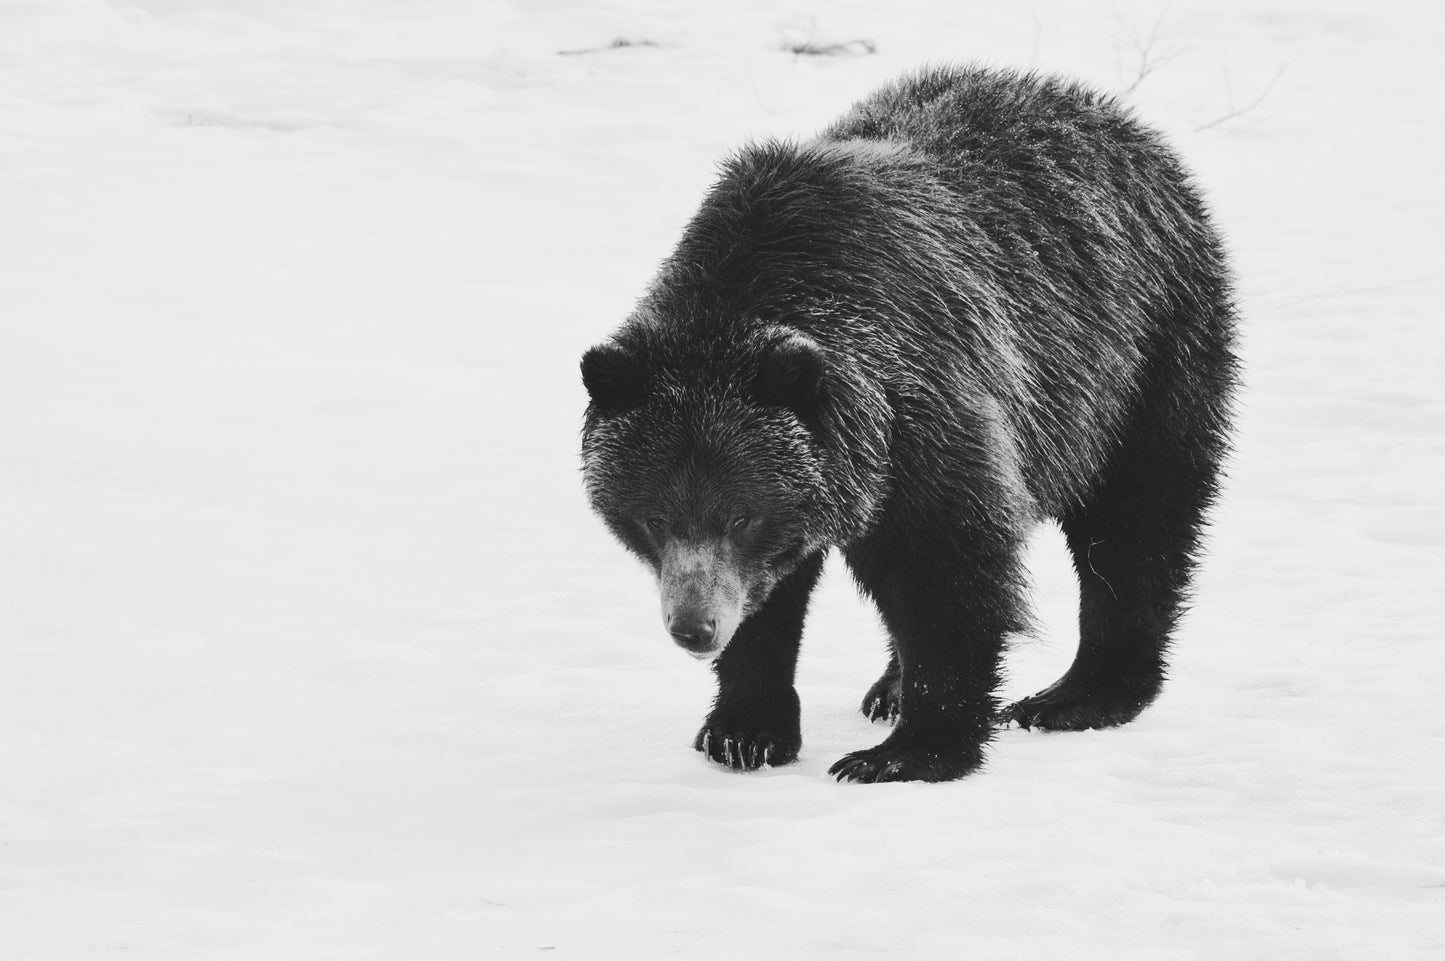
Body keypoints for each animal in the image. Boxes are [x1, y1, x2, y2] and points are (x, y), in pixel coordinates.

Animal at [579, 66, 1238, 783]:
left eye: (739, 515)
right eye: (652, 517)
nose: (693, 628)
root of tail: (1115, 118)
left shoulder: (923, 414)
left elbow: (946, 574)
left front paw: (906, 752)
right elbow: (772, 600)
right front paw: (745, 730)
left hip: (1139, 360)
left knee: (1135, 524)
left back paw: (1079, 693)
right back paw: (889, 687)